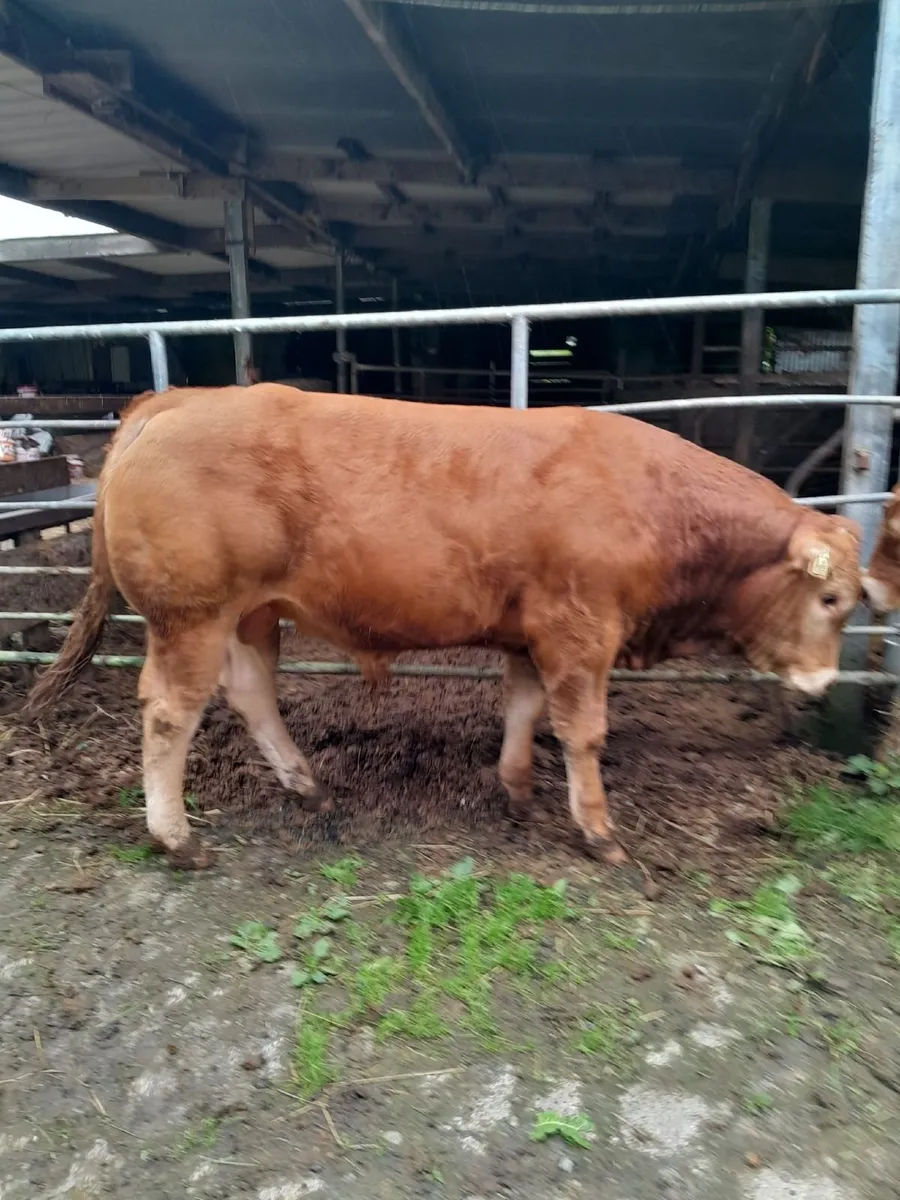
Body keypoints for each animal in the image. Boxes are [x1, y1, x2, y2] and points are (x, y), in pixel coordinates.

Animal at [24, 384, 862, 870]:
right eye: (830, 600)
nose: (826, 682)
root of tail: (174, 401)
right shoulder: (581, 630)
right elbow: (583, 732)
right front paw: (597, 830)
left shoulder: (533, 631)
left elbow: (524, 708)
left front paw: (517, 788)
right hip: (190, 614)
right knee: (170, 712)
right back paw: (177, 838)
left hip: (248, 614)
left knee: (250, 693)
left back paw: (307, 786)